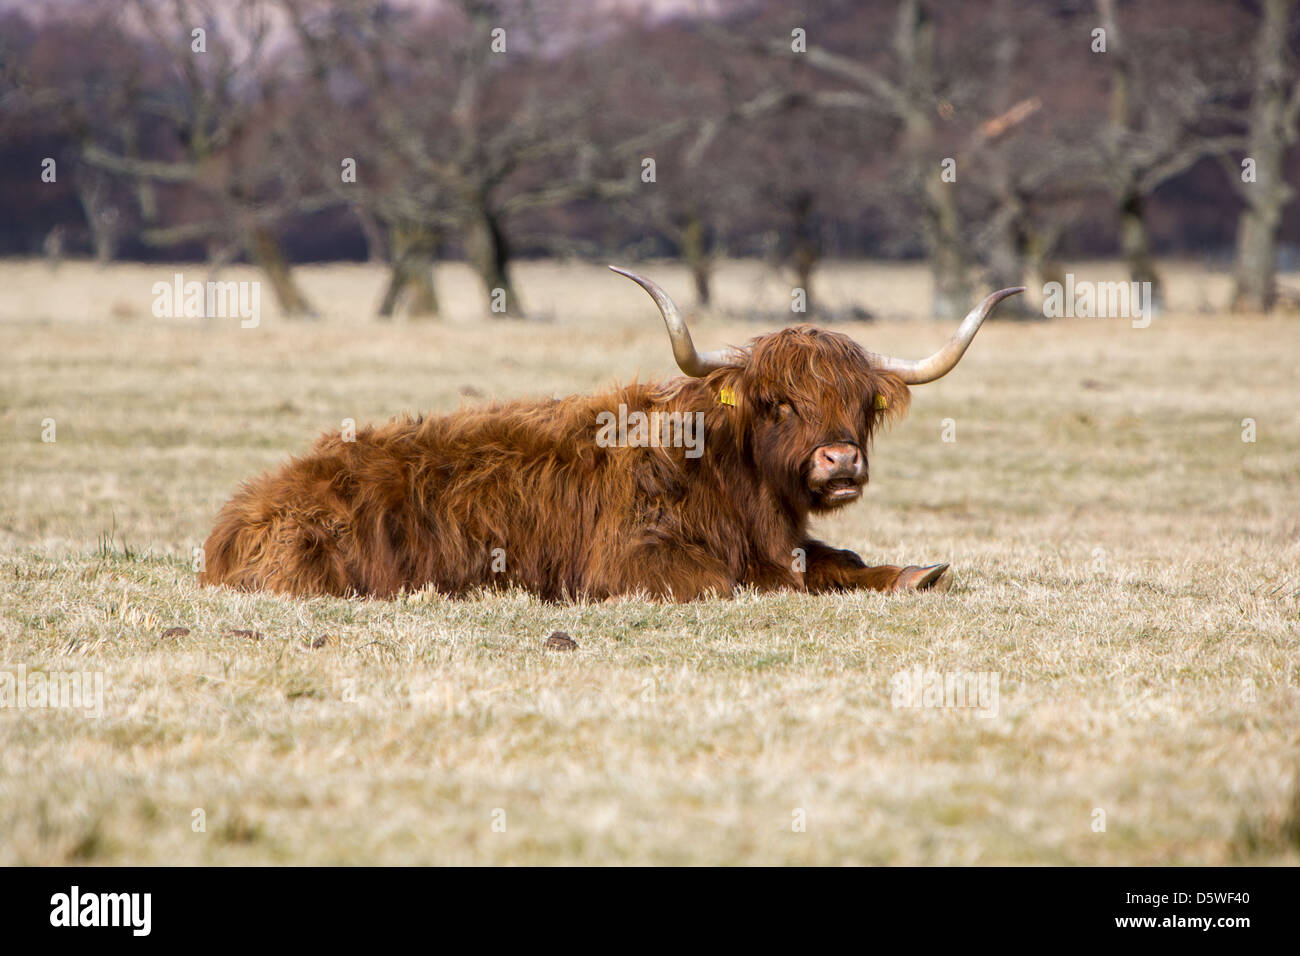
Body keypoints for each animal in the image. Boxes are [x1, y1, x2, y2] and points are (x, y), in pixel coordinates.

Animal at [199, 267, 1023, 601]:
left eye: (860, 403)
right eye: (778, 402)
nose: (840, 458)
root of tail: (238, 513)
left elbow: (841, 560)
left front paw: (917, 573)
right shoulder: (631, 561)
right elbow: (729, 582)